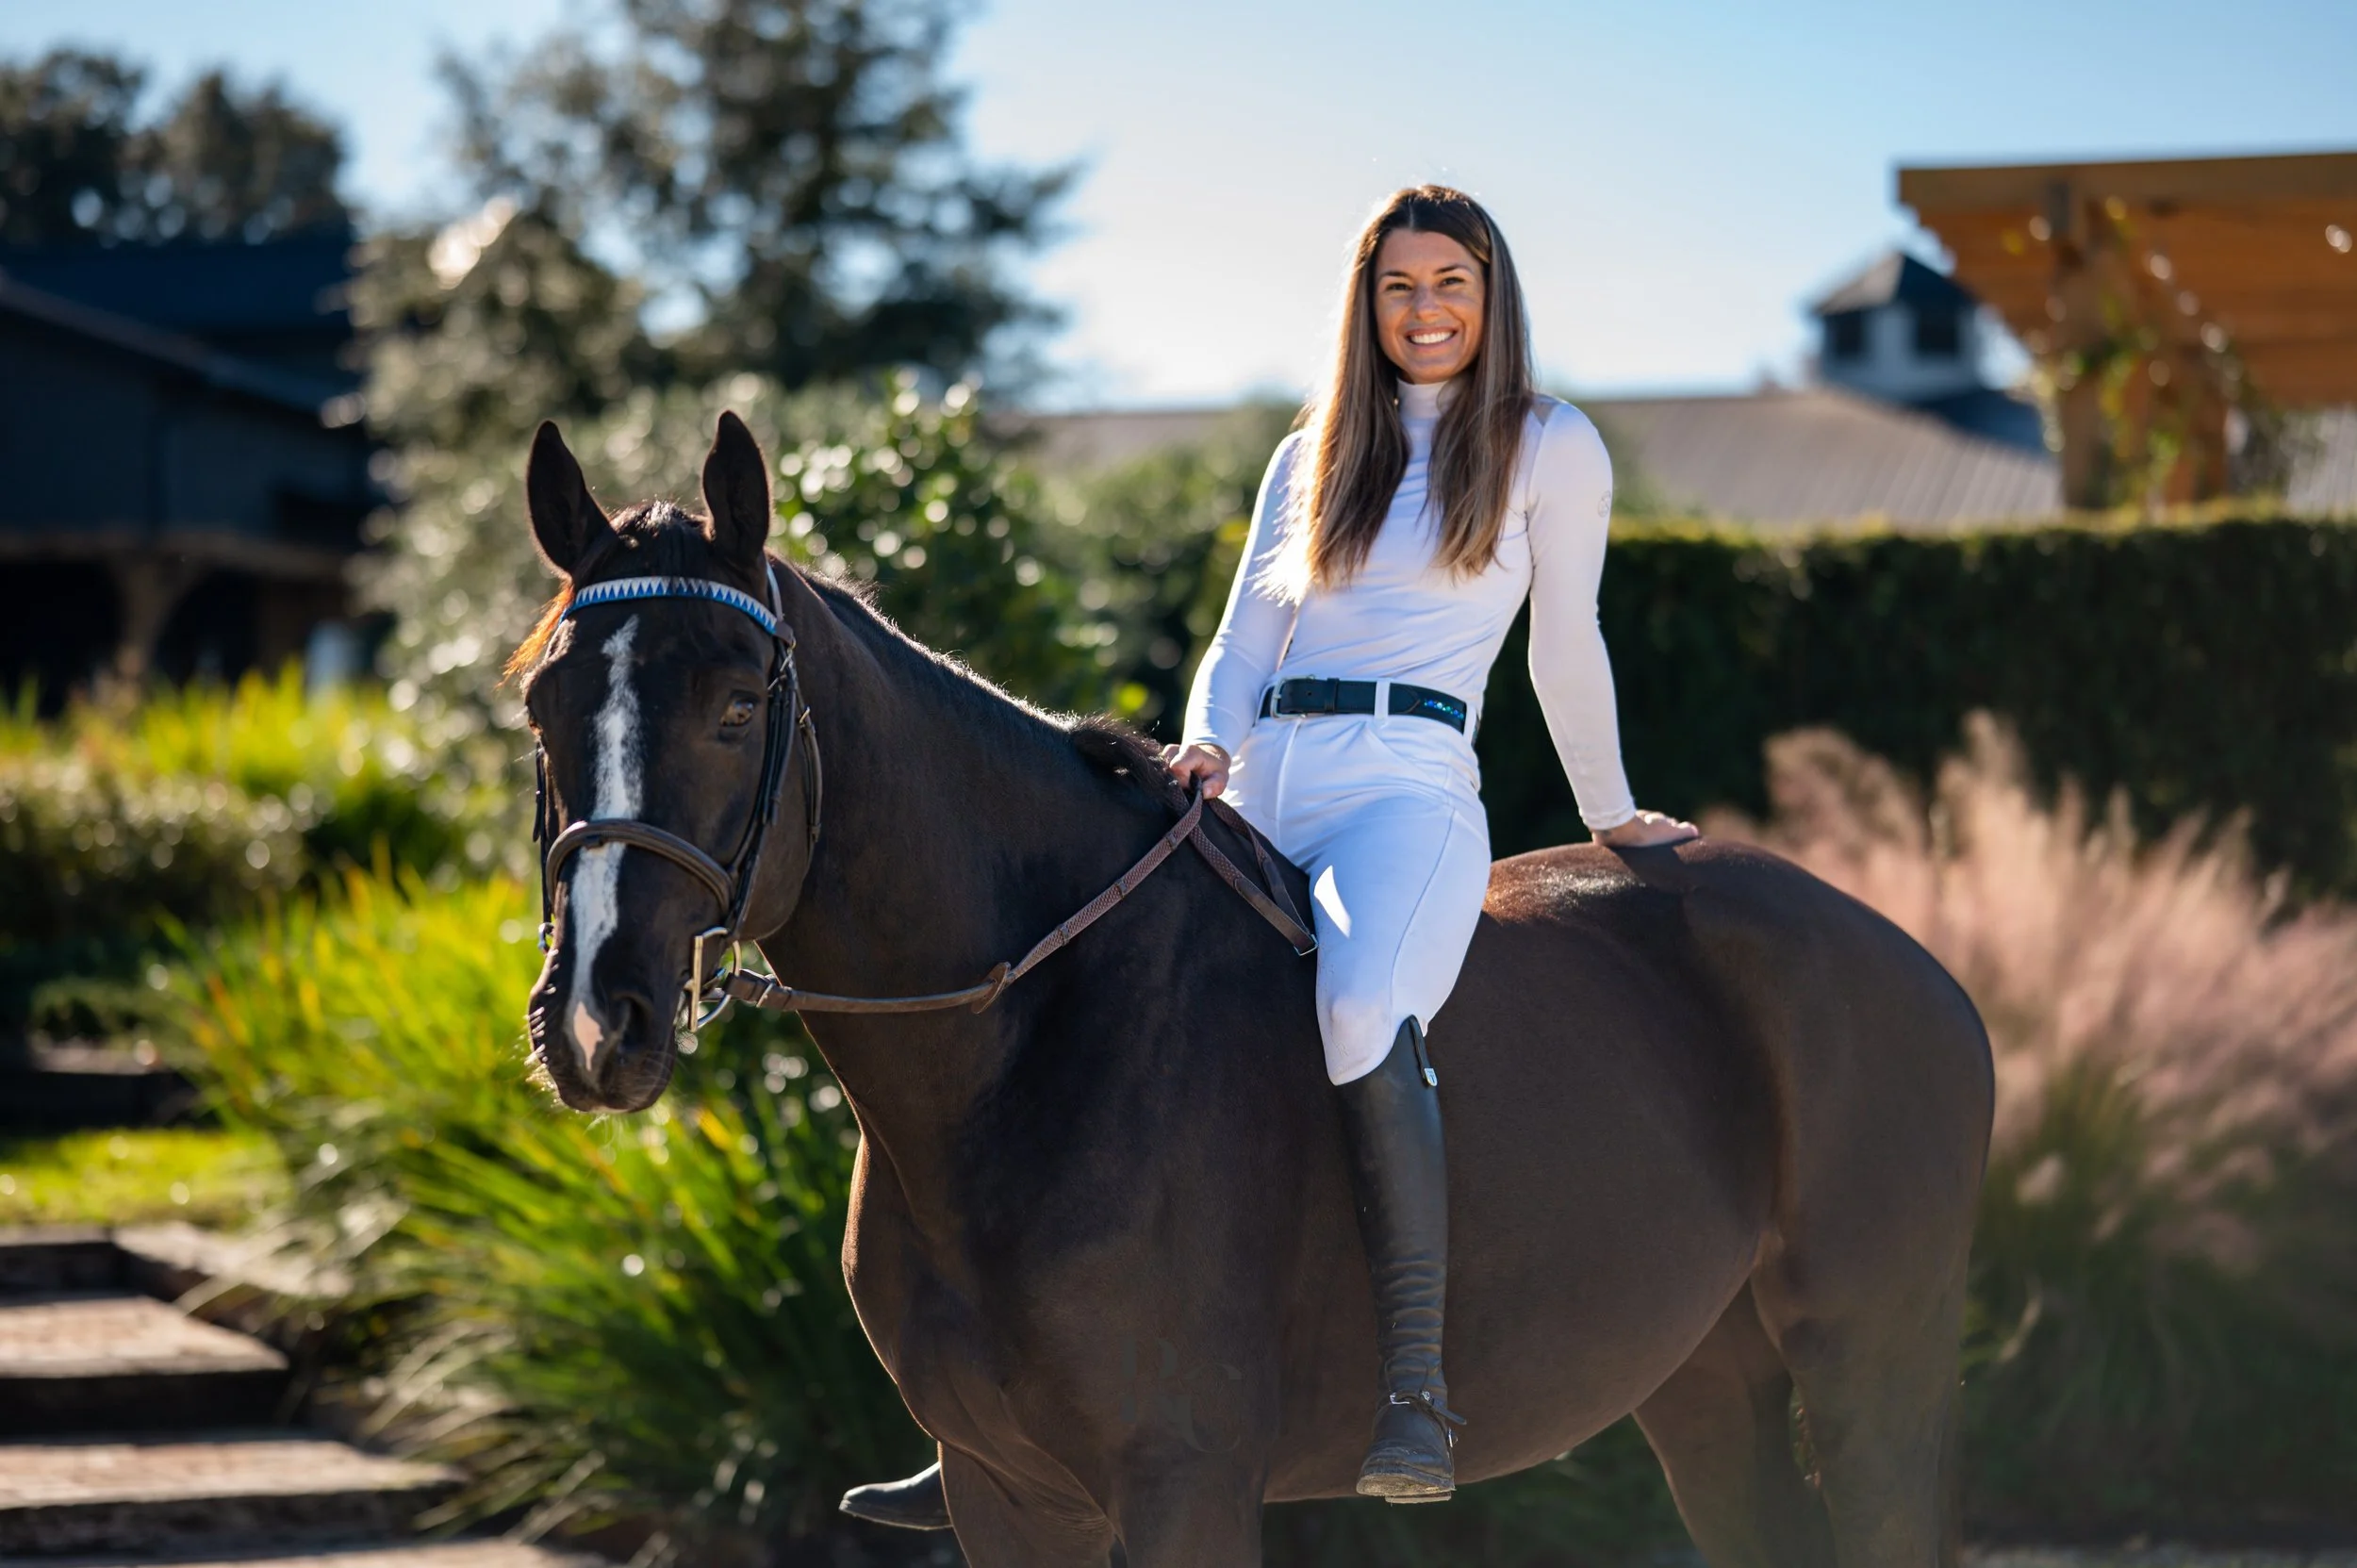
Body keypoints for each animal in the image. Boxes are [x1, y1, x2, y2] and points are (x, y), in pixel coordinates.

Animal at [514, 411, 1994, 1567]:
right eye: (539, 706)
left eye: (736, 705)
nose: (598, 1019)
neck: (1024, 1046)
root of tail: (1912, 958)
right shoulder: (1004, 1493)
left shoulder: (1185, 1479)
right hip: (1704, 1379)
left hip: (1873, 1356)